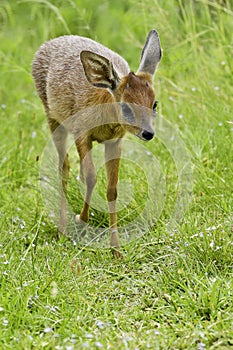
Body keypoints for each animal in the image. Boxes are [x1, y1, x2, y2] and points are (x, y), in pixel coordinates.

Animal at [31, 29, 161, 258]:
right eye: (125, 106)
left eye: (154, 103)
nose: (148, 133)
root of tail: (47, 44)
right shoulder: (81, 132)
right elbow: (92, 177)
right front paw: (81, 220)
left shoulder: (115, 141)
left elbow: (112, 189)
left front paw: (116, 249)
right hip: (53, 118)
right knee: (63, 167)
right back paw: (62, 229)